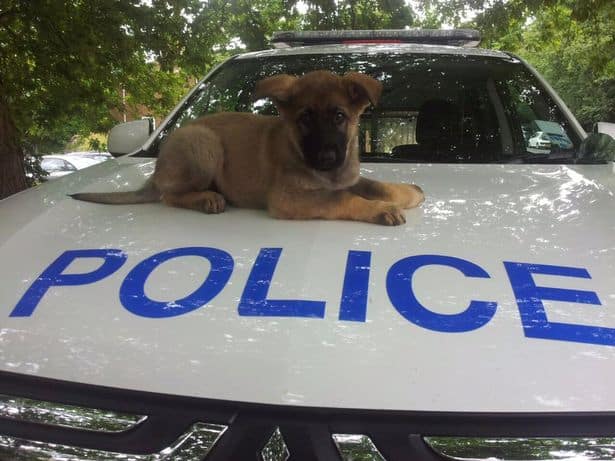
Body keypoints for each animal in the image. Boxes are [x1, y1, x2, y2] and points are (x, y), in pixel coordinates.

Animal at [72, 69, 424, 225]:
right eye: (305, 119)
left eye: (339, 116)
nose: (326, 157)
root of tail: (157, 169)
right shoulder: (287, 199)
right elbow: (342, 198)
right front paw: (379, 210)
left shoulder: (347, 177)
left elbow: (374, 184)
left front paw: (408, 192)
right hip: (204, 143)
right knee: (169, 196)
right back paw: (206, 198)